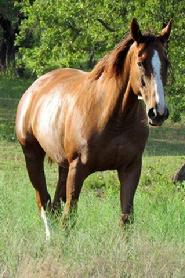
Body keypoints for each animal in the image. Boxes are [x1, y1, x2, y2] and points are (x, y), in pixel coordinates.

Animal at [15, 18, 172, 239]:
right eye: (140, 62)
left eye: (166, 62)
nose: (158, 112)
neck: (115, 119)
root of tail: (35, 88)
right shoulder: (78, 169)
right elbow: (69, 218)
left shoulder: (131, 169)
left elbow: (126, 219)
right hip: (32, 157)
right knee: (44, 201)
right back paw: (50, 239)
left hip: (64, 166)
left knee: (54, 204)